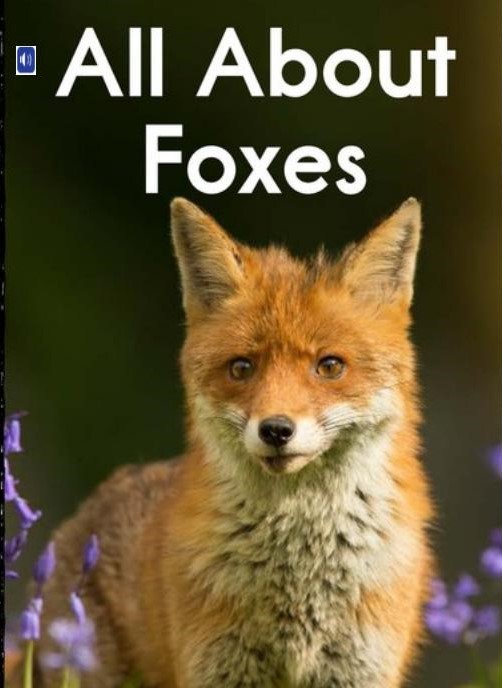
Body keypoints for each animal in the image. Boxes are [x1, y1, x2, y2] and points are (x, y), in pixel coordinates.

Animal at [17, 197, 434, 688]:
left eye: (330, 366)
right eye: (241, 367)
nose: (276, 430)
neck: (299, 573)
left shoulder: (357, 669)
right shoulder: (218, 667)